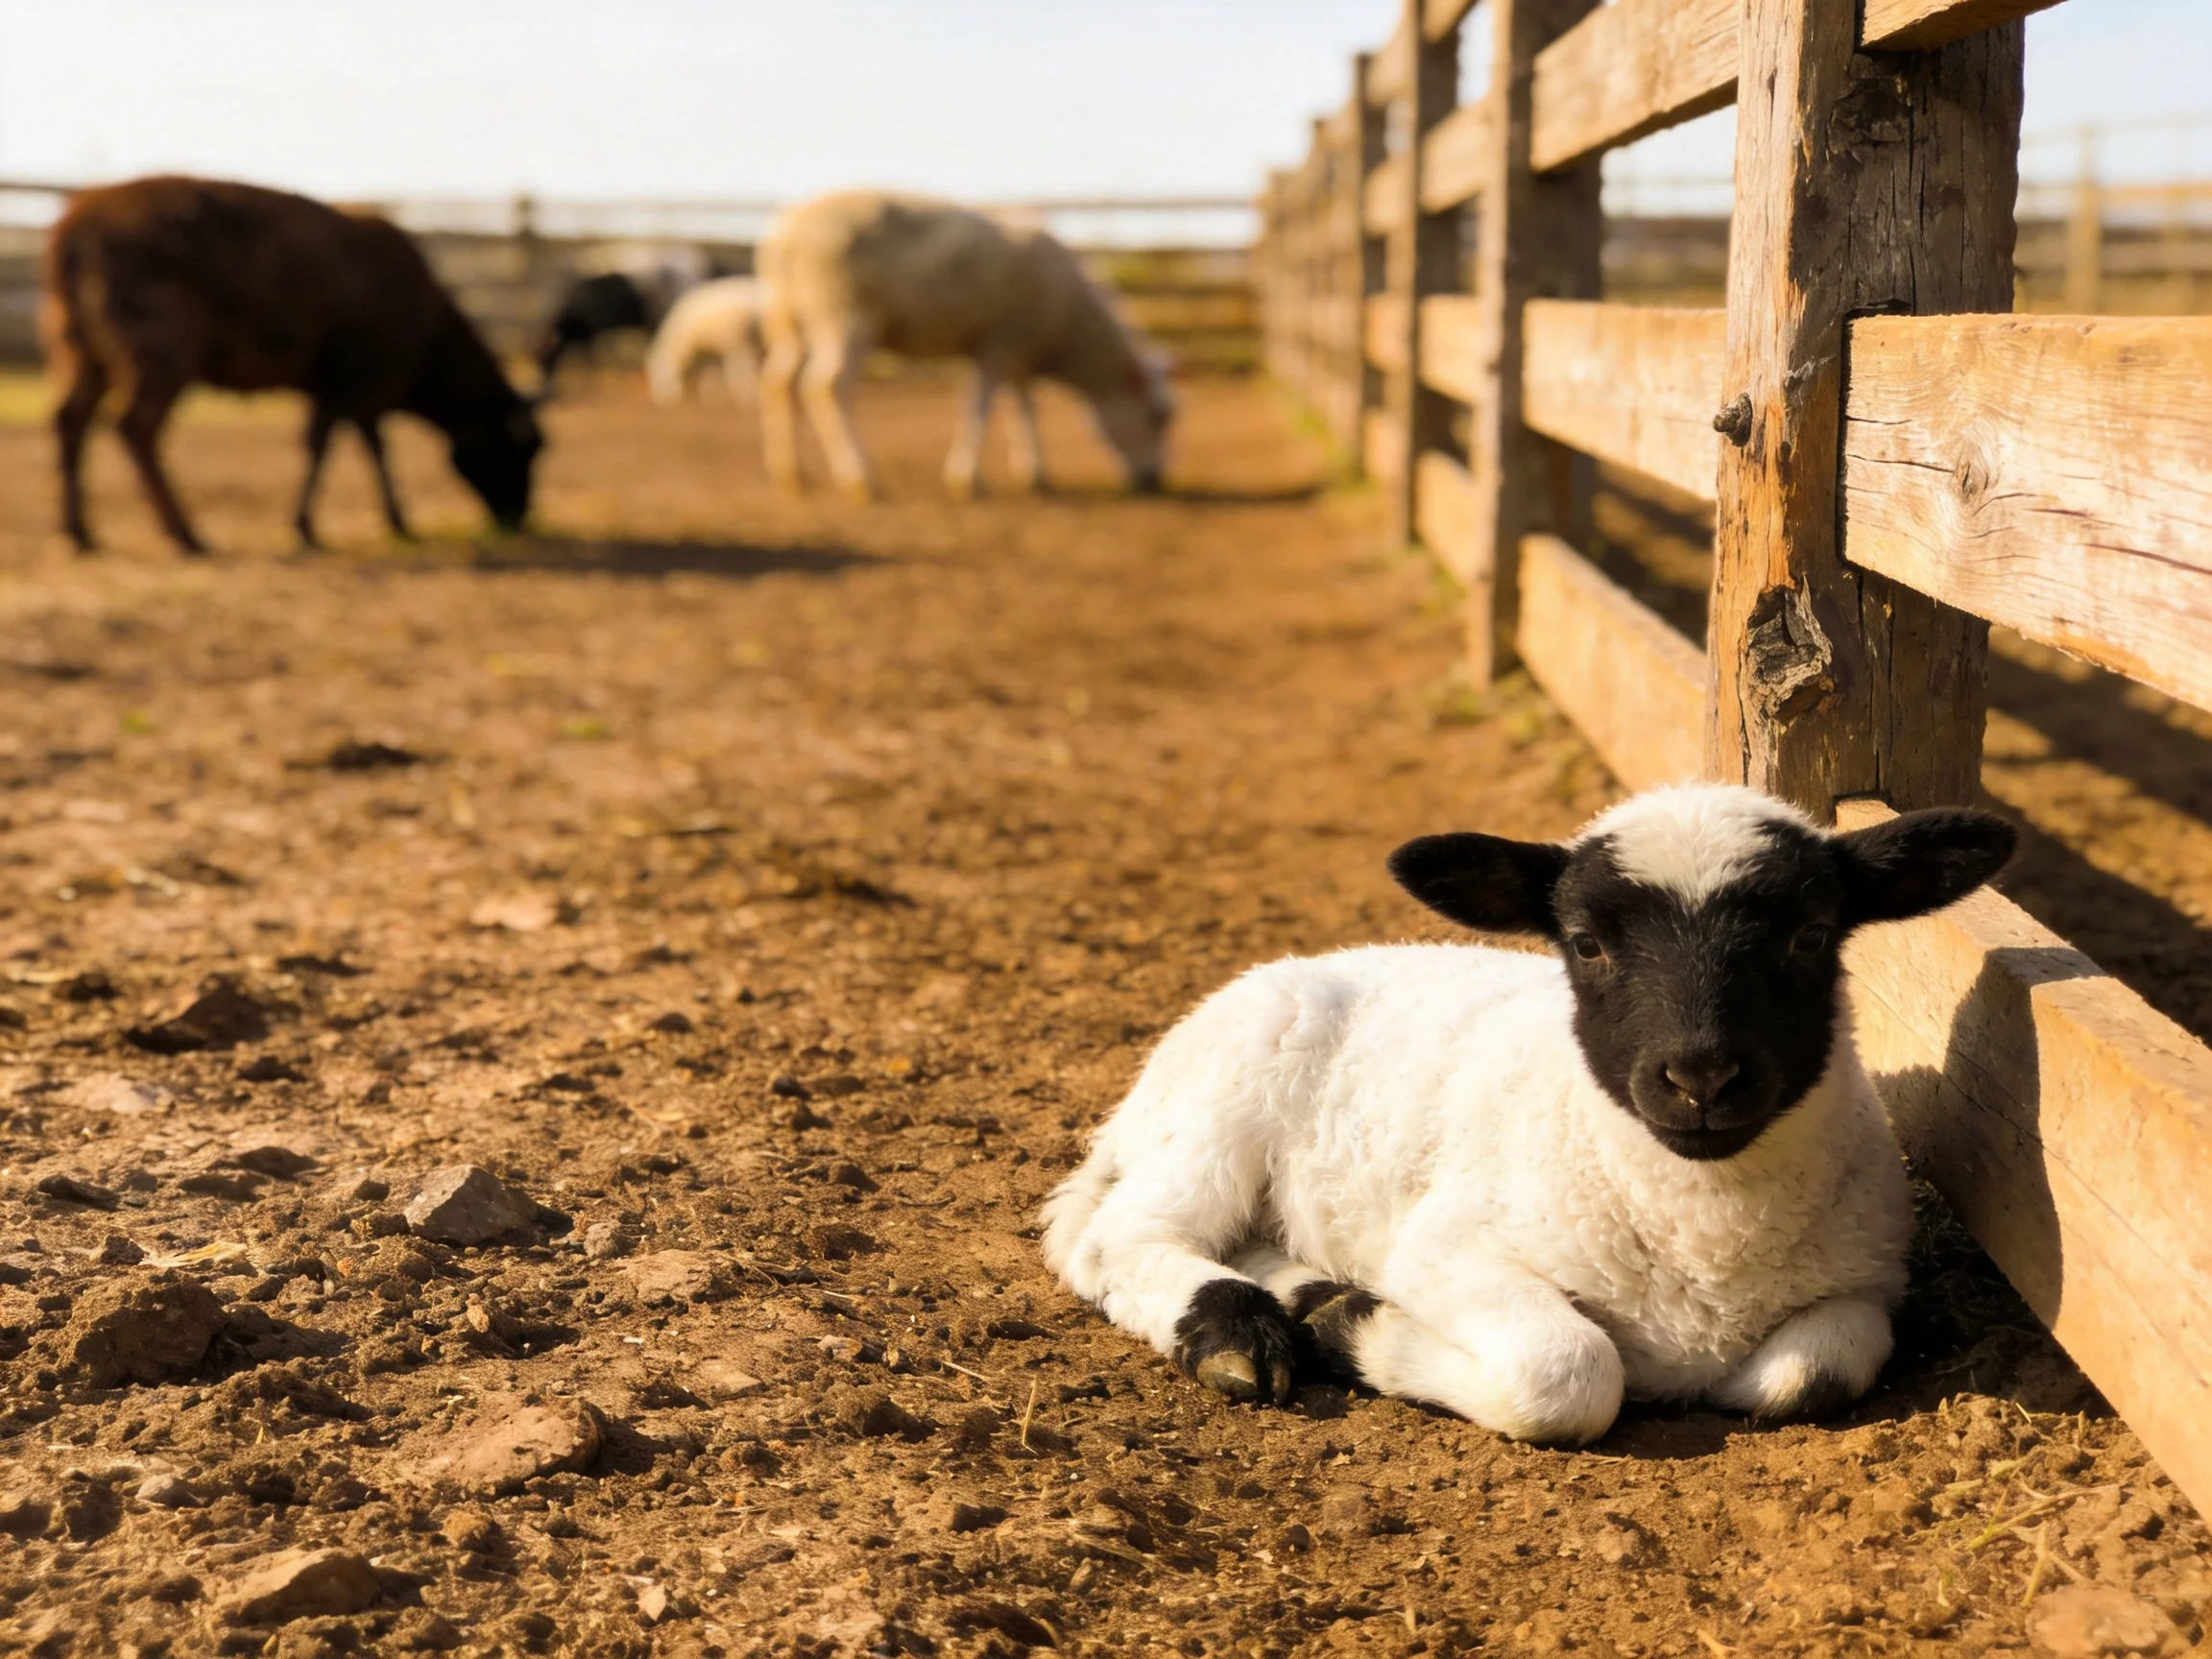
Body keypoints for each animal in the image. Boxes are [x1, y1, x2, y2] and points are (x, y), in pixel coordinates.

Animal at [46, 175, 542, 555]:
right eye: (522, 450)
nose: (518, 519)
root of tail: (69, 231)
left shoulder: (343, 386)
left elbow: (350, 445)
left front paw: (377, 522)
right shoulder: (353, 379)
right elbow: (343, 446)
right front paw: (330, 526)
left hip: (84, 351)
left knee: (71, 420)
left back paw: (80, 533)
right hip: (159, 346)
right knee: (136, 426)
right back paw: (186, 535)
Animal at [757, 190, 1174, 501]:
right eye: (1158, 415)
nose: (1153, 481)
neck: (1069, 328)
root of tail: (784, 235)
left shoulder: (1019, 352)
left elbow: (1025, 409)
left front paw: (1035, 474)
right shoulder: (1000, 341)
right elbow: (981, 408)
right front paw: (967, 479)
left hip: (791, 319)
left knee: (779, 383)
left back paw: (790, 474)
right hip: (843, 312)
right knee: (826, 387)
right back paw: (860, 479)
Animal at [1041, 783, 2017, 1444]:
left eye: (1810, 936)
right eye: (1584, 944)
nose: (1700, 1078)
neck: (1702, 1247)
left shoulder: (1867, 1284)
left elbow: (1806, 1374)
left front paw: (1335, 1312)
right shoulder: (1448, 1250)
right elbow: (1570, 1374)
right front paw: (1362, 1331)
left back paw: (1304, 1292)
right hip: (1221, 1108)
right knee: (1121, 1239)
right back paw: (1237, 1334)